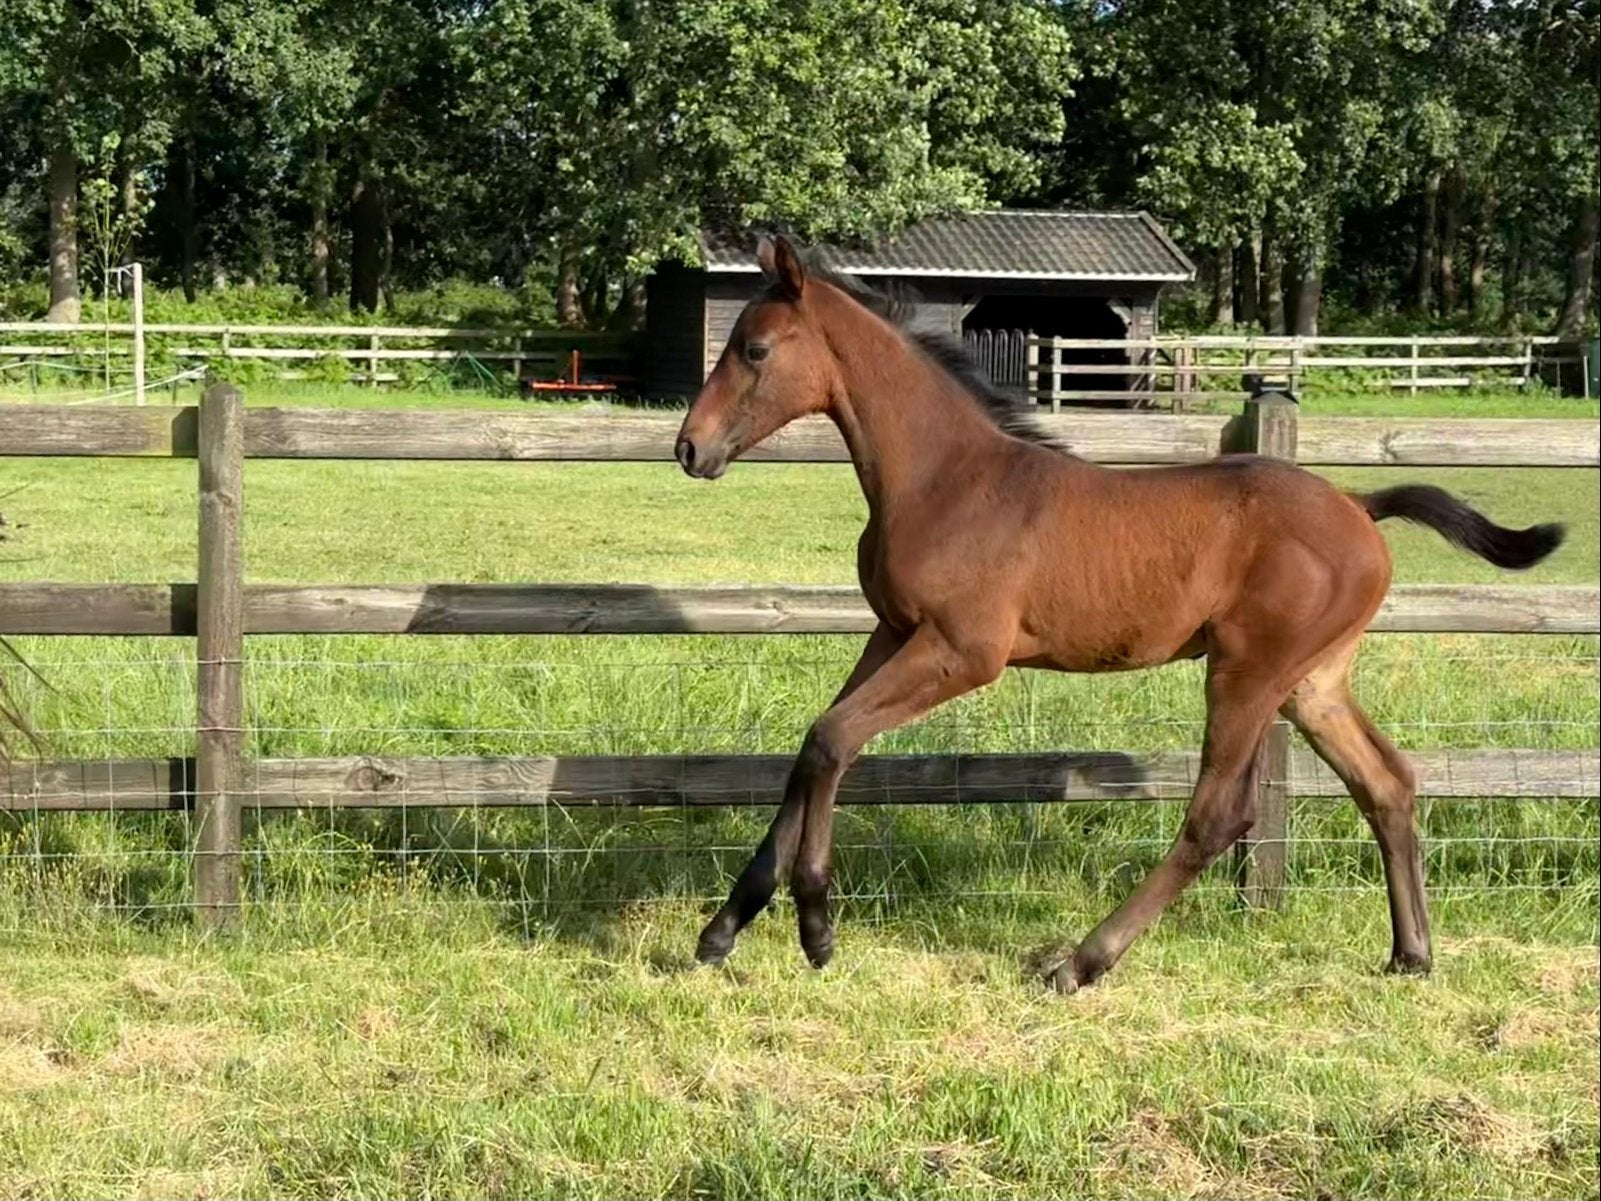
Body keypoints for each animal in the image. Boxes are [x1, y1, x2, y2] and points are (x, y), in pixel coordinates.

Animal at [672, 236, 1565, 992]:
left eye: (754, 350)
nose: (689, 448)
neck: (944, 478)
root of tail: (1358, 506)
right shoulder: (891, 632)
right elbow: (814, 745)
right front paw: (722, 930)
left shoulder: (963, 650)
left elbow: (832, 741)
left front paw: (816, 925)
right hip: (1311, 682)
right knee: (1387, 783)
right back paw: (1411, 953)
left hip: (1247, 671)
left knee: (1219, 814)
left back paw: (1081, 960)